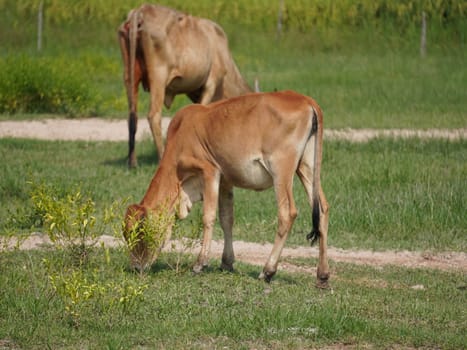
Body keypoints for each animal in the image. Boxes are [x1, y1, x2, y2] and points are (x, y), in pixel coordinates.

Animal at [119, 3, 254, 168]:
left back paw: (132, 162)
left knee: (132, 116)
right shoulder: (211, 82)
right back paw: (161, 156)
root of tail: (141, 11)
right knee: (154, 116)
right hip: (158, 76)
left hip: (129, 76)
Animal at [122, 90, 330, 288]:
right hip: (307, 168)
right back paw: (322, 276)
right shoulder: (225, 180)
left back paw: (268, 271)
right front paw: (226, 262)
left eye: (138, 232)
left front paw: (200, 264)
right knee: (322, 209)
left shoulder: (209, 171)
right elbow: (226, 218)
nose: (136, 267)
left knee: (287, 212)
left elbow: (208, 217)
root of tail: (306, 101)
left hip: (281, 170)